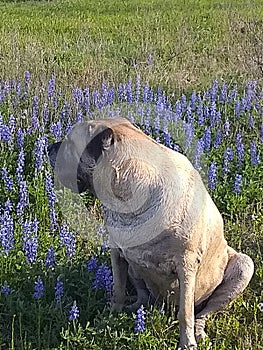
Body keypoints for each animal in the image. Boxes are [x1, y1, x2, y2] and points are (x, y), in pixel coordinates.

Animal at [48, 117, 256, 348]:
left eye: (69, 143)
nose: (49, 148)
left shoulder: (187, 264)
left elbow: (186, 312)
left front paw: (187, 343)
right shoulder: (117, 253)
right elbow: (118, 290)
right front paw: (110, 317)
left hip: (244, 266)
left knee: (203, 312)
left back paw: (199, 332)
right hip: (134, 268)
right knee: (143, 295)